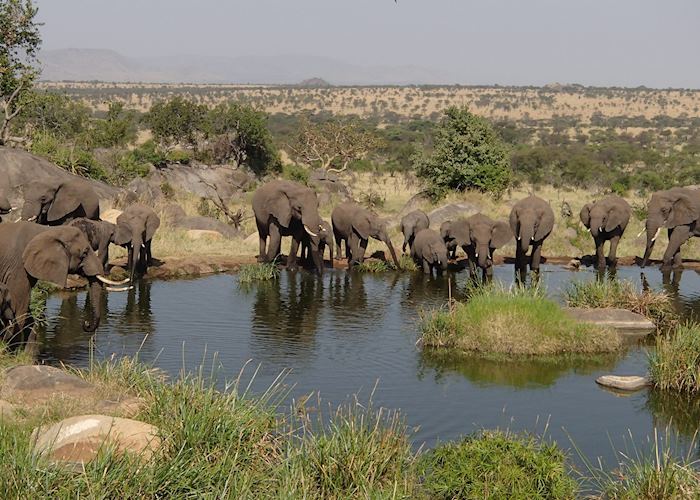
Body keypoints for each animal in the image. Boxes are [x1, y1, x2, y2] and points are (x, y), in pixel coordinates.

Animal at [0, 221, 128, 350]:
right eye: (84, 253)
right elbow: (20, 310)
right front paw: (11, 349)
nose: (86, 323)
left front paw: (27, 352)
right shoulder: (17, 269)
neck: (49, 230)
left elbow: (27, 315)